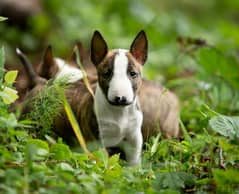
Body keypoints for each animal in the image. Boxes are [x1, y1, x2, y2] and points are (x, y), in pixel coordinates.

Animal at [90, 30, 147, 165]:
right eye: (106, 74)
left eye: (133, 73)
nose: (120, 98)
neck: (120, 112)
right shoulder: (99, 139)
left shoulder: (135, 137)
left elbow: (134, 162)